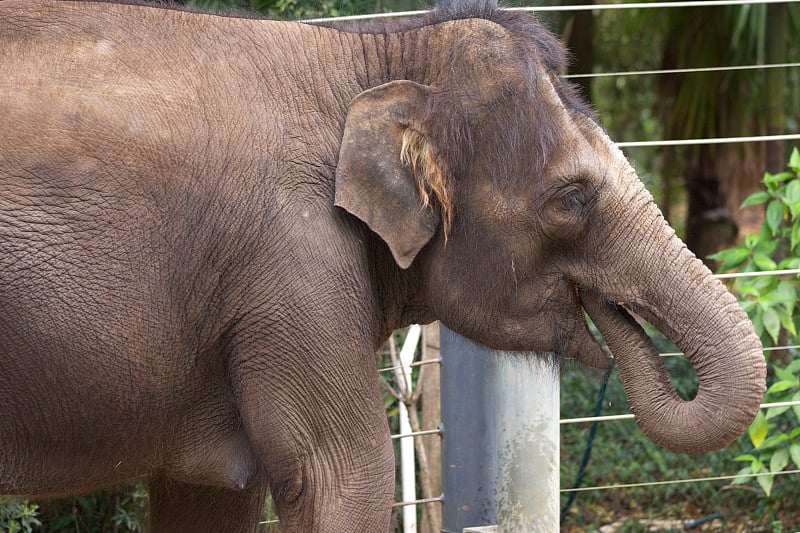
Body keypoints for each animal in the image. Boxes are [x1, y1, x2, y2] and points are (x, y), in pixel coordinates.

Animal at [0, 0, 764, 528]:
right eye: (571, 197)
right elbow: (343, 473)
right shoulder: (293, 257)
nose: (614, 316)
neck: (371, 49)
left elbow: (211, 495)